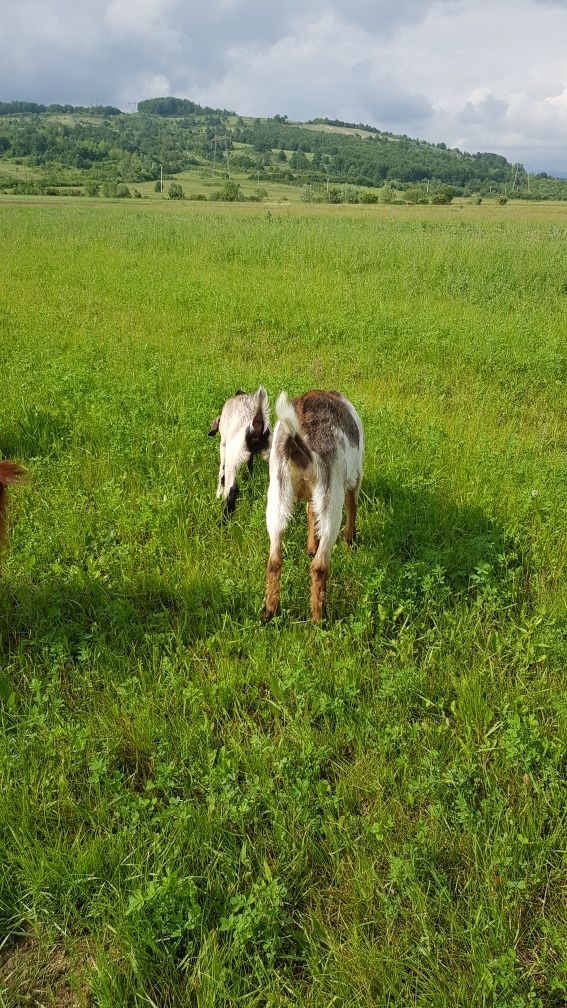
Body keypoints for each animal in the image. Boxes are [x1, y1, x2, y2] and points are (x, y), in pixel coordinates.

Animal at [264, 387, 361, 616]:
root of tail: (298, 439)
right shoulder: (355, 478)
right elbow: (352, 507)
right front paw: (350, 542)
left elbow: (310, 512)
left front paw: (310, 546)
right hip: (330, 500)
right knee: (319, 566)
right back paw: (319, 616)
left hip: (277, 496)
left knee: (274, 560)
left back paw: (270, 611)